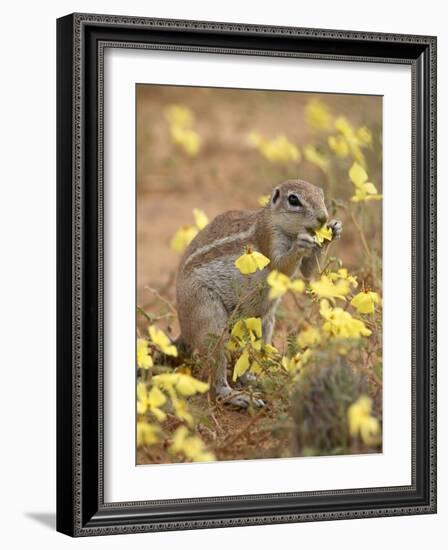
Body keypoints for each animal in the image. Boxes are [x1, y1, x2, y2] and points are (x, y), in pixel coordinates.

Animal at [177, 181, 342, 410]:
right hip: (209, 318)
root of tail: (184, 329)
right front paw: (300, 245)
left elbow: (310, 271)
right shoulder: (269, 238)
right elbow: (280, 266)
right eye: (293, 200)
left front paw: (334, 230)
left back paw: (255, 379)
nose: (323, 218)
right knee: (217, 380)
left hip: (263, 324)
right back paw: (237, 396)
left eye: (321, 194)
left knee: (246, 360)